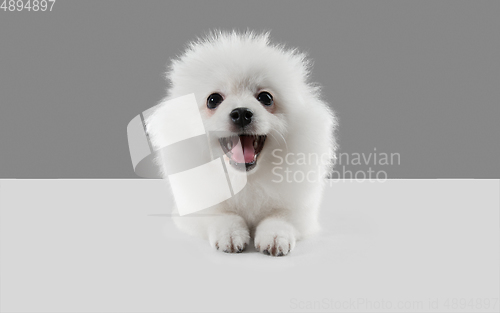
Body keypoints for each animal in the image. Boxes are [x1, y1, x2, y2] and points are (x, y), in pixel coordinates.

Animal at [146, 31, 338, 256]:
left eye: (266, 98)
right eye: (213, 100)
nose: (241, 113)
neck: (244, 180)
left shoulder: (299, 210)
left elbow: (279, 218)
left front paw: (275, 237)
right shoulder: (195, 208)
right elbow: (222, 215)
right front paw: (230, 234)